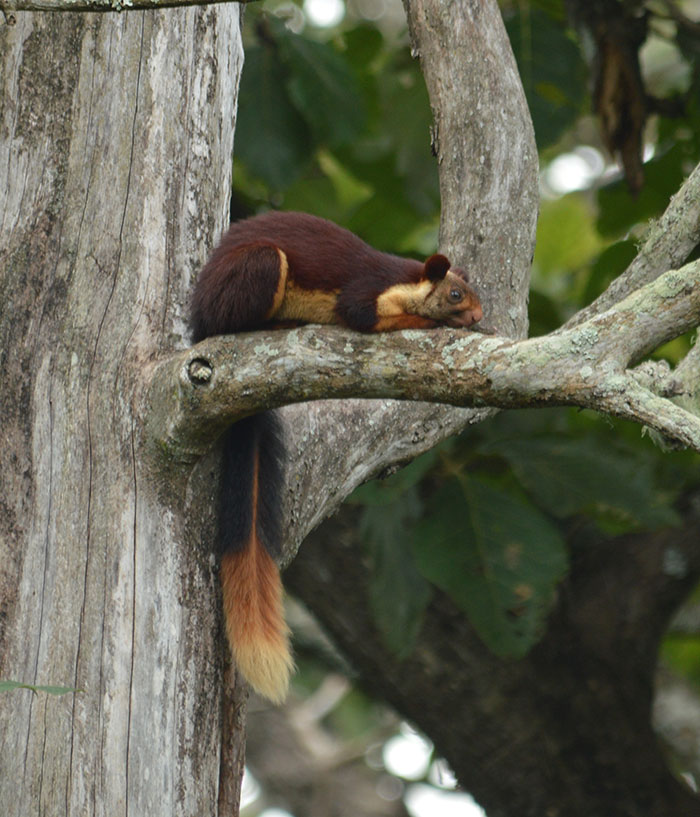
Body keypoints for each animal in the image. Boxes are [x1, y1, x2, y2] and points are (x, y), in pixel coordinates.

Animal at [190, 210, 483, 702]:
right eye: (456, 294)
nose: (480, 316)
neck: (405, 280)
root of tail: (198, 322)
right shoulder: (364, 292)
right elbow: (364, 317)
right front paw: (435, 324)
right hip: (255, 270)